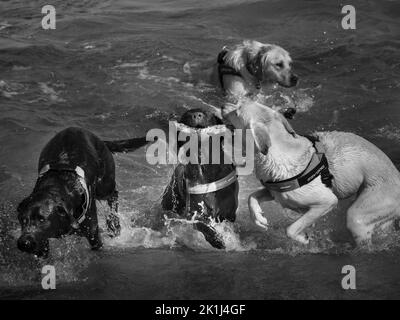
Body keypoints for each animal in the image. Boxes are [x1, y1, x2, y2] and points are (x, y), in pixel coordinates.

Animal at [17, 126, 147, 256]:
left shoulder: (93, 234)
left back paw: (113, 224)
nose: (23, 243)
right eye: (22, 219)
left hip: (104, 185)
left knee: (113, 196)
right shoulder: (41, 242)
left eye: (42, 219)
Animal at [162, 109, 239, 249]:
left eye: (207, 113)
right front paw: (216, 239)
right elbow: (202, 224)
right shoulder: (195, 212)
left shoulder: (229, 212)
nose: (196, 115)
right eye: (187, 114)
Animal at [223, 100, 400, 245]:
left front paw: (303, 239)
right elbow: (252, 197)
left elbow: (291, 229)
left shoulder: (327, 202)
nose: (223, 106)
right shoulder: (275, 193)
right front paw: (258, 218)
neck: (279, 151)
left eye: (237, 112)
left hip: (357, 216)